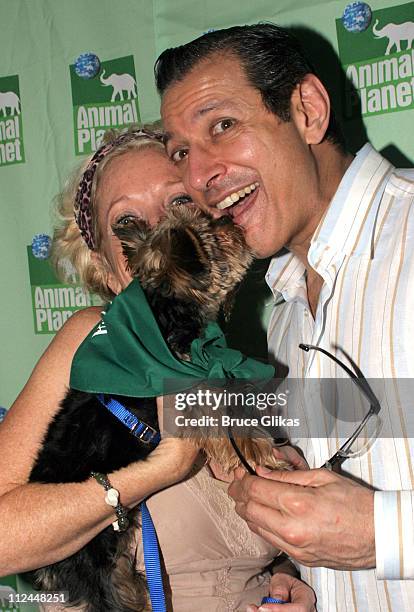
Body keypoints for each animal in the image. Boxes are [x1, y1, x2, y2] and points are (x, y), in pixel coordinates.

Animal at [27, 207, 286, 612]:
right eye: (215, 232)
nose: (230, 221)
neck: (166, 310)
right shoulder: (187, 387)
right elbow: (218, 416)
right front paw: (257, 449)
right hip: (91, 562)